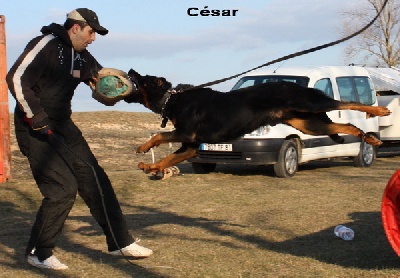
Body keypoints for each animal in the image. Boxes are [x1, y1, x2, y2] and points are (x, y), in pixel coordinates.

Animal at [126, 68, 390, 175]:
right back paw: (369, 138)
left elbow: (159, 135)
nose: (129, 69)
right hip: (309, 124)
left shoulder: (187, 135)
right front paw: (151, 167)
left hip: (311, 105)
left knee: (345, 103)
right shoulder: (191, 147)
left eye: (143, 78)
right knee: (347, 126)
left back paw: (378, 110)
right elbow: (168, 158)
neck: (172, 99)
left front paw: (143, 148)